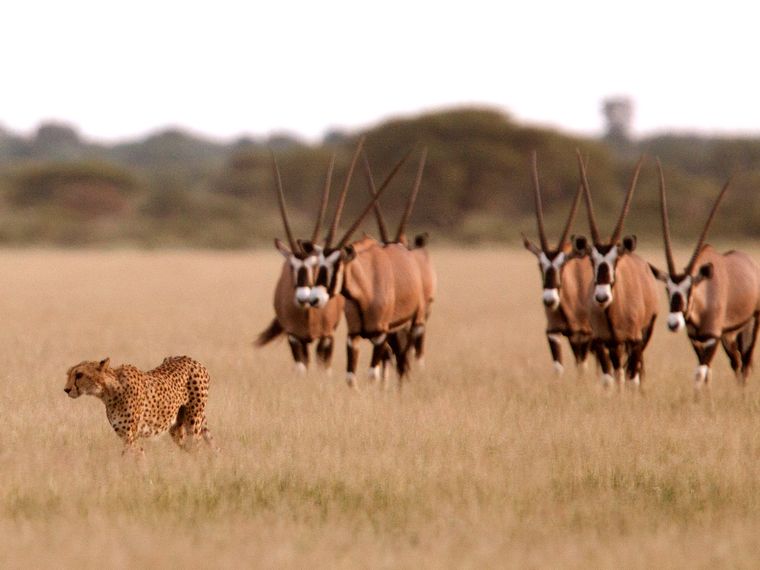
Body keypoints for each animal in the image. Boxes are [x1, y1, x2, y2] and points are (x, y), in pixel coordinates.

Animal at [64, 355, 215, 455]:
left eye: (79, 375)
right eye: (69, 374)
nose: (66, 389)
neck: (108, 392)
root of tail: (192, 360)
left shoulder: (130, 436)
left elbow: (137, 458)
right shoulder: (124, 435)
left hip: (193, 423)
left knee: (197, 447)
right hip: (177, 428)